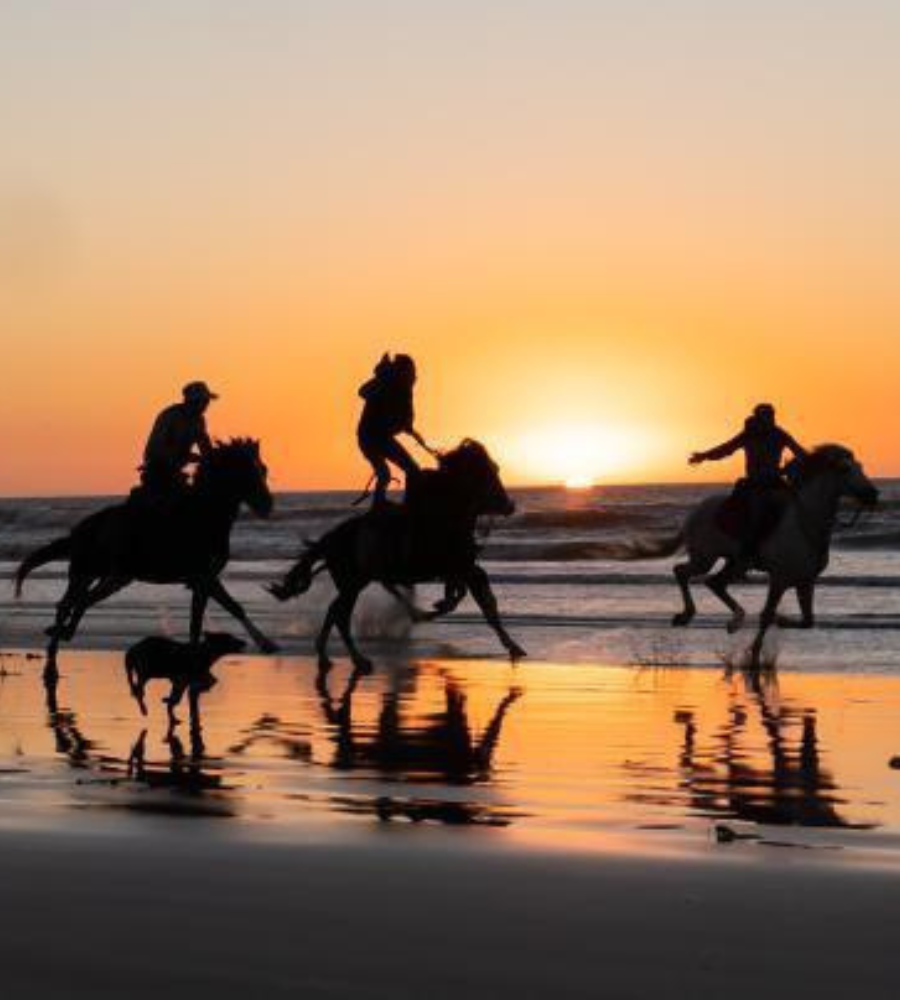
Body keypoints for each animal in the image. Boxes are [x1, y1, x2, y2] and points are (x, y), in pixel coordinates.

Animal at [13, 438, 274, 680]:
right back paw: (52, 662)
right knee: (68, 605)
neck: (203, 515)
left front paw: (267, 644)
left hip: (111, 577)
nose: (267, 506)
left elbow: (224, 612)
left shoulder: (205, 579)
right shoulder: (203, 578)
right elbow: (211, 616)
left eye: (263, 469)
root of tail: (79, 529)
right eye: (245, 471)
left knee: (80, 602)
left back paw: (62, 640)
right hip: (85, 572)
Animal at [268, 440, 524, 668]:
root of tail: (332, 537)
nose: (509, 505)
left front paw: (513, 646)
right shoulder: (454, 567)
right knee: (340, 615)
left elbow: (486, 603)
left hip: (354, 583)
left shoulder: (466, 568)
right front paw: (433, 608)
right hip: (352, 583)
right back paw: (358, 658)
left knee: (334, 611)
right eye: (488, 471)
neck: (445, 515)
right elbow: (466, 597)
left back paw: (325, 654)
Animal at [624, 448, 880, 668]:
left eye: (861, 467)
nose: (872, 495)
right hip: (705, 557)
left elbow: (808, 621)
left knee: (713, 582)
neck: (805, 524)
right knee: (682, 572)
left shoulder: (806, 582)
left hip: (734, 562)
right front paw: (756, 653)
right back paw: (687, 615)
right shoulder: (779, 579)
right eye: (845, 469)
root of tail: (694, 513)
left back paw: (734, 621)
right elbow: (767, 616)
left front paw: (780, 622)